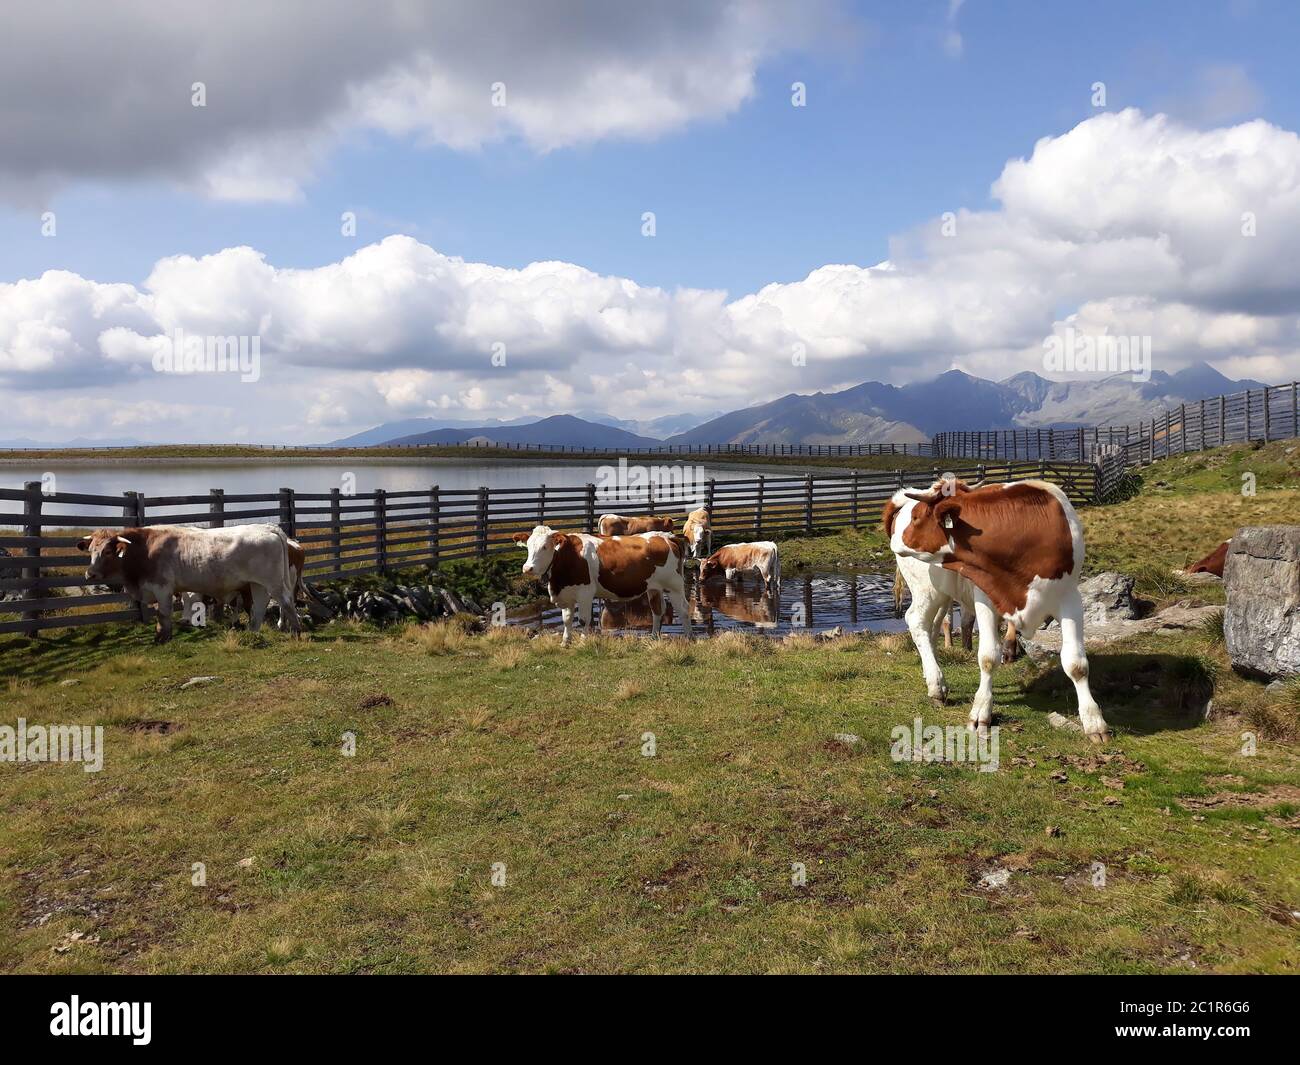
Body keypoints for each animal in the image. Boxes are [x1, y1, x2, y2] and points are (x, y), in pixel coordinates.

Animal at [79, 522, 302, 642]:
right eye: (91, 550)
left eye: (108, 551)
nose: (90, 574)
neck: (145, 549)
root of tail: (269, 528)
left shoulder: (163, 588)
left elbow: (163, 615)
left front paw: (163, 638)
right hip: (257, 584)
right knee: (260, 605)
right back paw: (252, 632)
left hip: (274, 583)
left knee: (286, 602)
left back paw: (297, 631)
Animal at [512, 522, 691, 642]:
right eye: (528, 546)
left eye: (545, 547)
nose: (527, 568)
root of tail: (667, 536)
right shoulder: (566, 593)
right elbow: (567, 619)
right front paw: (565, 642)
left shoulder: (585, 593)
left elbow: (583, 619)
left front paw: (583, 641)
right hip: (654, 587)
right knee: (657, 610)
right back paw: (654, 637)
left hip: (674, 586)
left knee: (683, 609)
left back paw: (688, 637)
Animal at [883, 481, 1107, 743]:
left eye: (917, 517)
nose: (896, 539)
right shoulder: (985, 598)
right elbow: (988, 657)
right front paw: (981, 713)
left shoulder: (1070, 598)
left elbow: (1076, 664)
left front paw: (1094, 722)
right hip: (926, 589)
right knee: (916, 621)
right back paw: (936, 684)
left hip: (942, 593)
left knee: (933, 626)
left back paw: (934, 680)